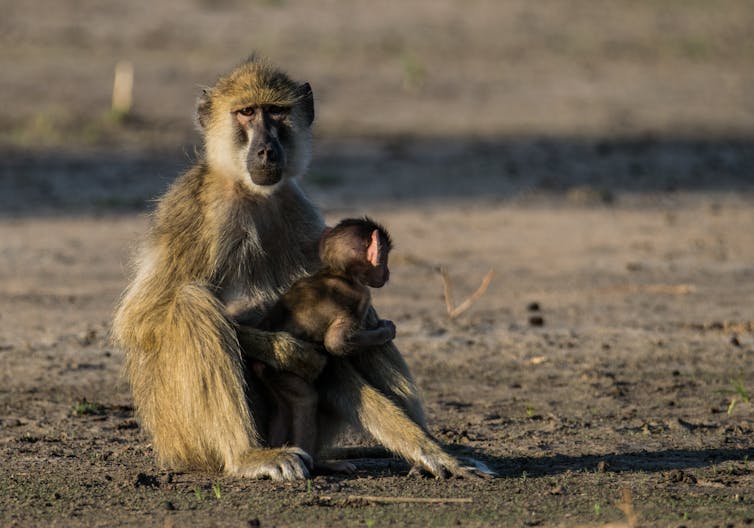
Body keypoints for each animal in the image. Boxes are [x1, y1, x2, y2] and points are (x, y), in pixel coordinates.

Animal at [253, 217, 396, 464]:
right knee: (306, 401)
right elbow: (335, 343)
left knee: (281, 409)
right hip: (284, 372)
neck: (337, 272)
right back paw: (318, 462)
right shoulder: (361, 296)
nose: (386, 273)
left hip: (270, 374)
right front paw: (385, 331)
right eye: (384, 259)